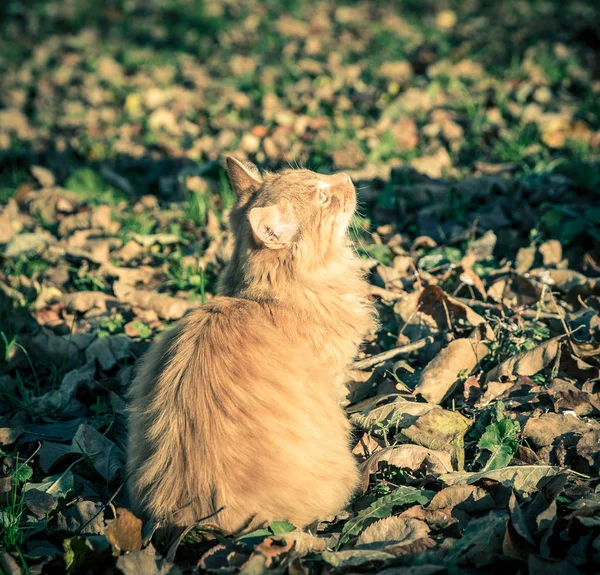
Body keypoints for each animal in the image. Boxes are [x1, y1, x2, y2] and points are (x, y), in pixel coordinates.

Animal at [127, 158, 376, 536]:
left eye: (319, 175)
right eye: (322, 196)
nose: (346, 178)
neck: (264, 297)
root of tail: (200, 520)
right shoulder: (331, 378)